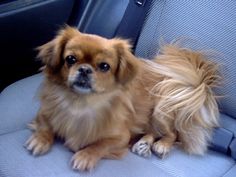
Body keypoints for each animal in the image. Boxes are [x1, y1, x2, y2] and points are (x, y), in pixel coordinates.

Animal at [24, 26, 220, 171]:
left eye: (104, 66)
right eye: (70, 59)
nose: (85, 69)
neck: (81, 103)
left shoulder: (120, 137)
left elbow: (100, 145)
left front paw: (85, 156)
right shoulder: (45, 112)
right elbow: (45, 125)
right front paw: (40, 140)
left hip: (160, 110)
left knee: (173, 133)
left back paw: (161, 145)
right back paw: (143, 144)